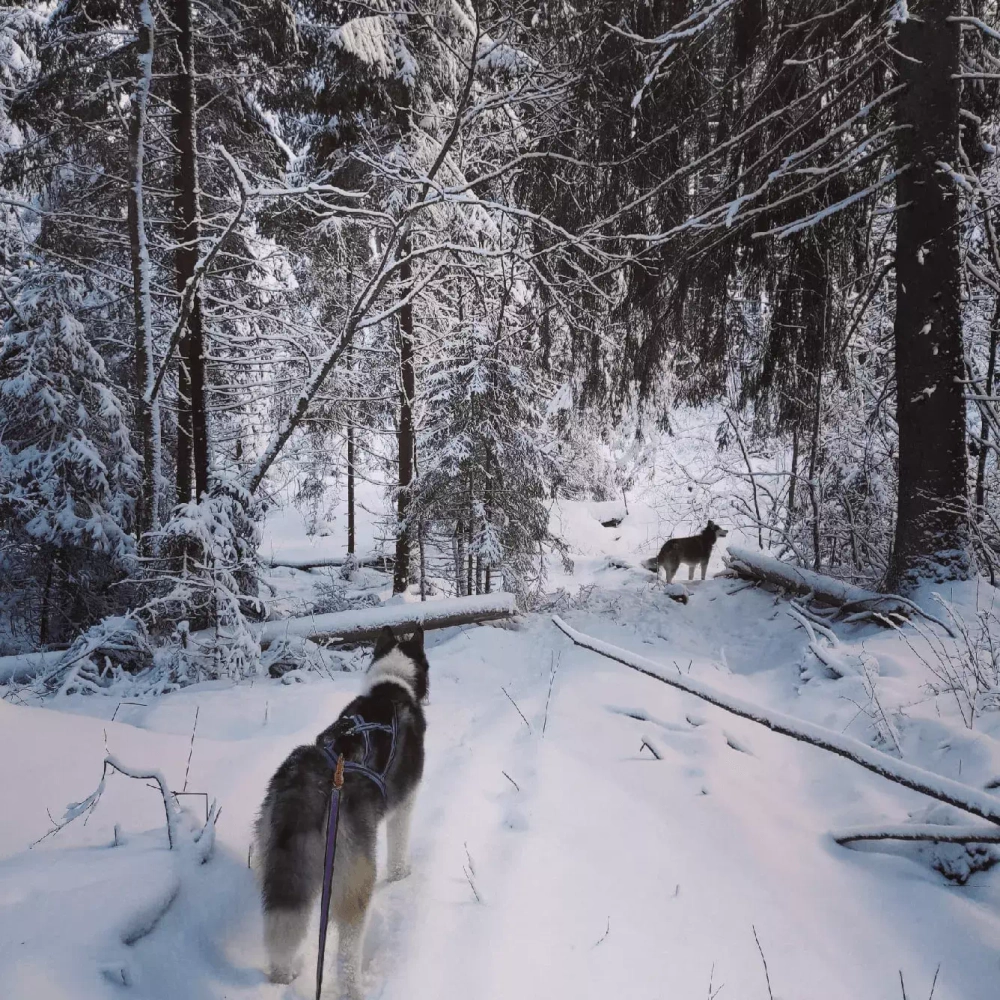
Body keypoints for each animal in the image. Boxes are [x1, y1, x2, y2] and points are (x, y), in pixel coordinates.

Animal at [254, 625, 430, 998]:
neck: (392, 684)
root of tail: (307, 782)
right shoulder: (404, 805)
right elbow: (399, 849)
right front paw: (401, 875)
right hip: (354, 874)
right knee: (348, 948)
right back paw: (354, 989)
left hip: (276, 861)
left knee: (281, 928)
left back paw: (283, 978)